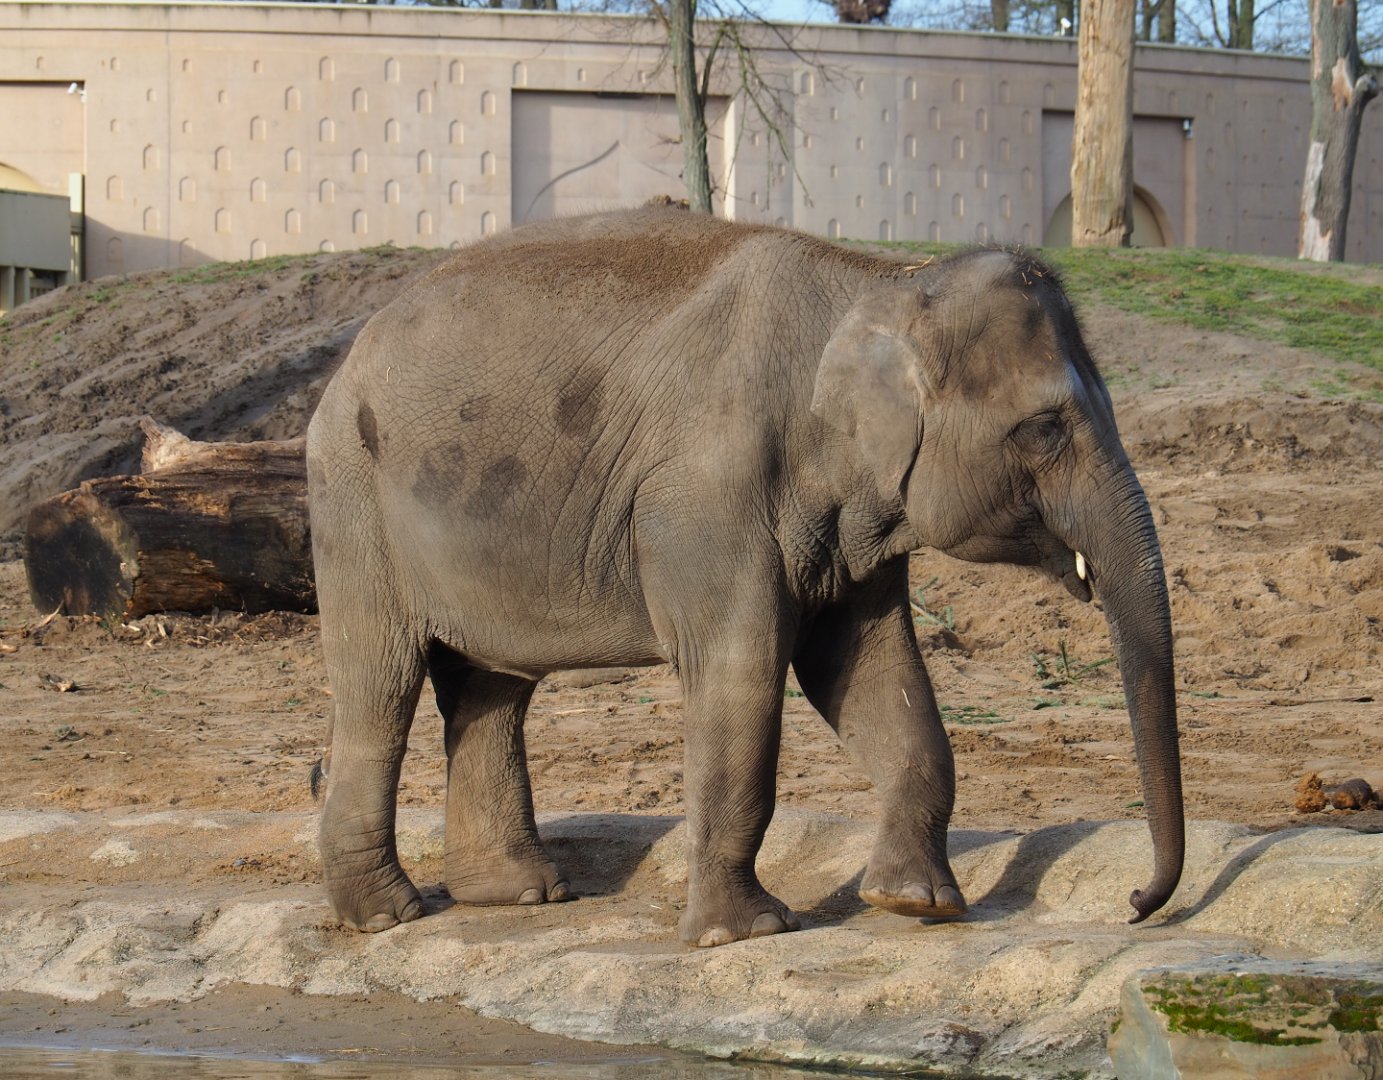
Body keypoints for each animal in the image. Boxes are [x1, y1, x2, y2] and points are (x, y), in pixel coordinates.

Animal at [305, 208, 1183, 946]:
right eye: (1042, 431)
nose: (1135, 905)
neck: (881, 281)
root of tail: (348, 358)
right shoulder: (705, 495)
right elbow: (743, 672)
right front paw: (746, 933)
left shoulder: (854, 520)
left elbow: (872, 673)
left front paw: (915, 904)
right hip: (353, 504)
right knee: (380, 687)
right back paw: (385, 916)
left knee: (490, 688)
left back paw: (519, 894)